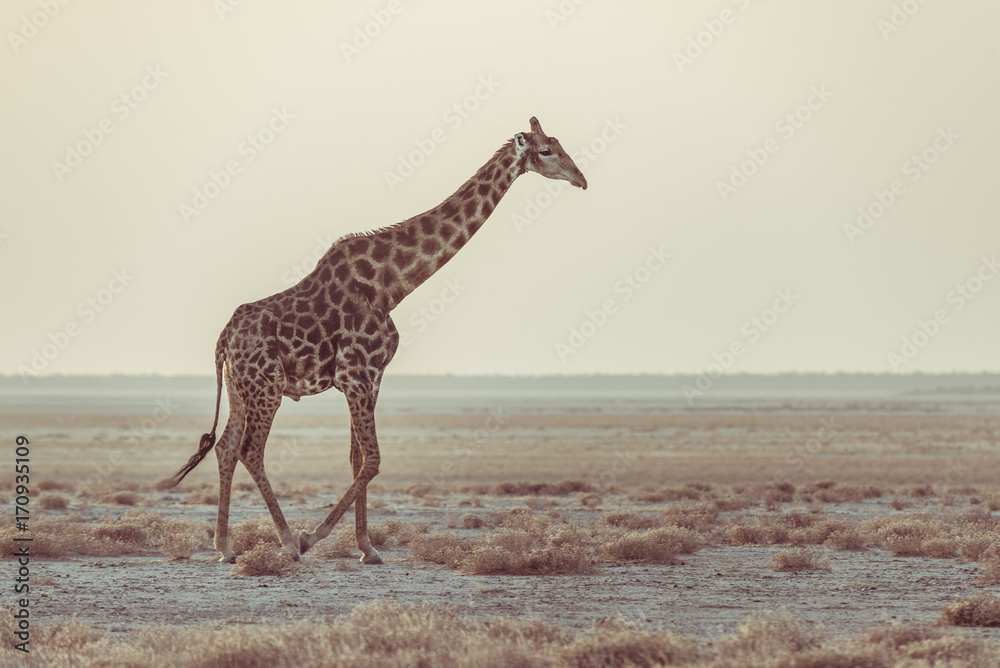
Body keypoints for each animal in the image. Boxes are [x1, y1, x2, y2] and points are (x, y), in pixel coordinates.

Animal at [171, 117, 587, 564]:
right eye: (546, 151)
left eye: (558, 143)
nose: (580, 179)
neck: (391, 284)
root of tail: (222, 339)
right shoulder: (354, 373)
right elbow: (372, 460)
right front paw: (313, 537)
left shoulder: (372, 376)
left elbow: (358, 459)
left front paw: (366, 547)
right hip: (268, 386)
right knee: (250, 449)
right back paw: (286, 541)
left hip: (240, 388)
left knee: (227, 446)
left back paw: (225, 547)